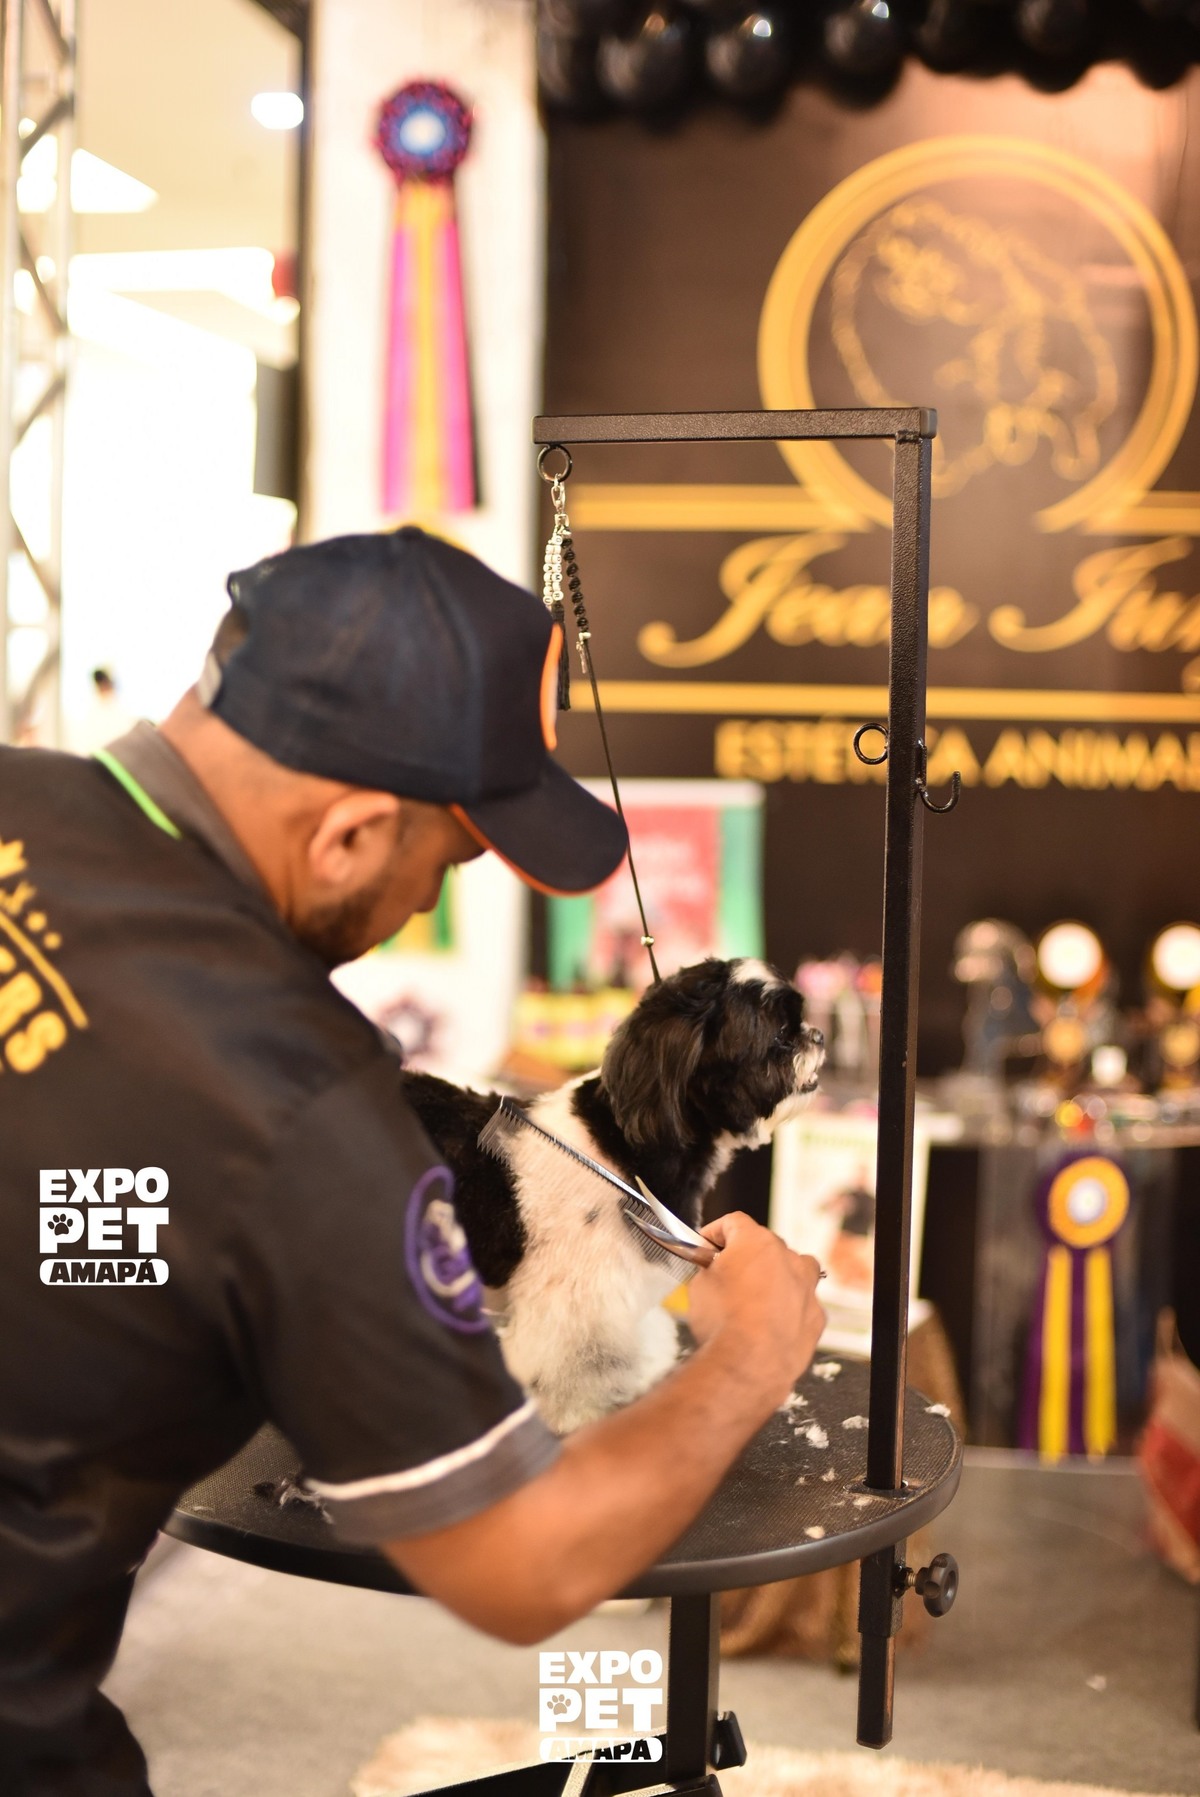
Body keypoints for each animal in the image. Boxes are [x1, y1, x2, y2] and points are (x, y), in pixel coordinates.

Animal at [401, 957, 825, 1433]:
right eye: (780, 1033)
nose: (818, 1035)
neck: (625, 1146)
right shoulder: (576, 1303)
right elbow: (577, 1367)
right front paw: (580, 1418)